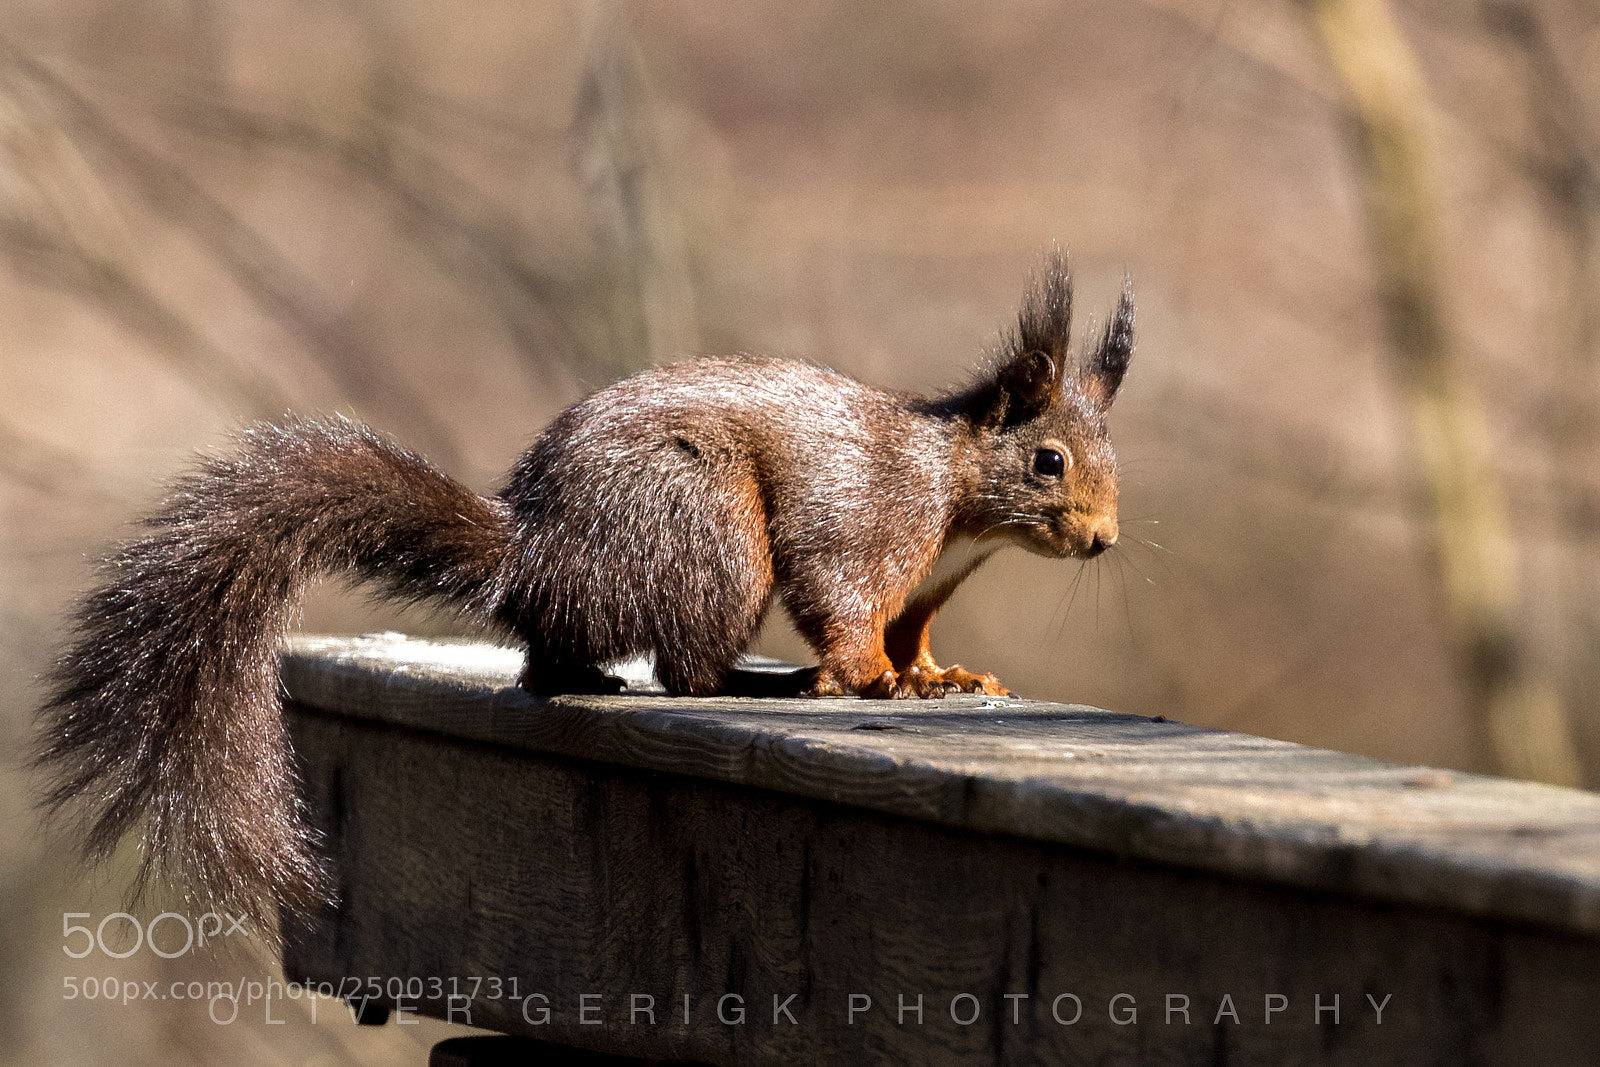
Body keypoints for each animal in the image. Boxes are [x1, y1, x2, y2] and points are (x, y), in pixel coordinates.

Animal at [36, 250, 1133, 930]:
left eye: (1110, 457)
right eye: (1047, 460)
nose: (1103, 540)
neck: (956, 496)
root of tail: (539, 552)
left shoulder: (928, 586)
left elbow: (913, 632)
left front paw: (943, 677)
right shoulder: (864, 521)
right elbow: (844, 600)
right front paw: (869, 679)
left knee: (550, 661)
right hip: (710, 527)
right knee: (685, 664)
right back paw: (754, 681)